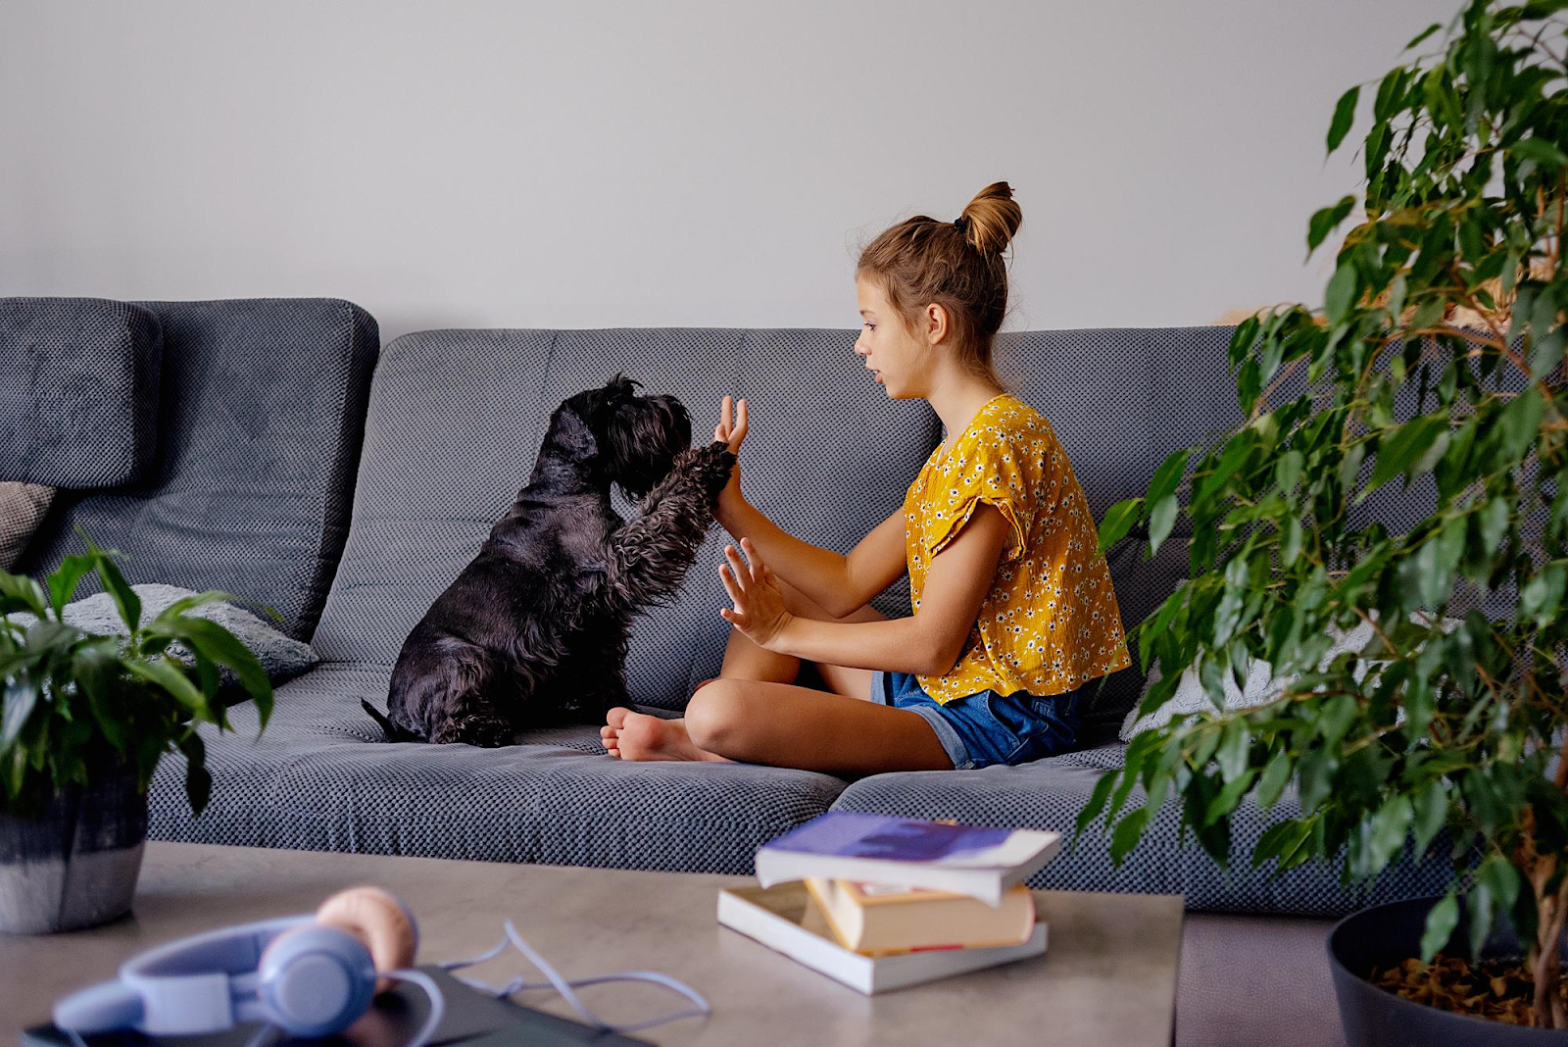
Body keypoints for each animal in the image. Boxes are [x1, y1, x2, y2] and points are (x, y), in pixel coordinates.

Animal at [363, 374, 736, 742]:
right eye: (612, 401)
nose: (674, 406)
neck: (564, 486)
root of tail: (395, 717)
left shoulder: (597, 614)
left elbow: (604, 665)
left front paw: (616, 708)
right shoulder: (620, 560)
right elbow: (662, 508)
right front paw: (704, 462)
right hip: (462, 657)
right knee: (447, 725)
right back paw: (487, 728)